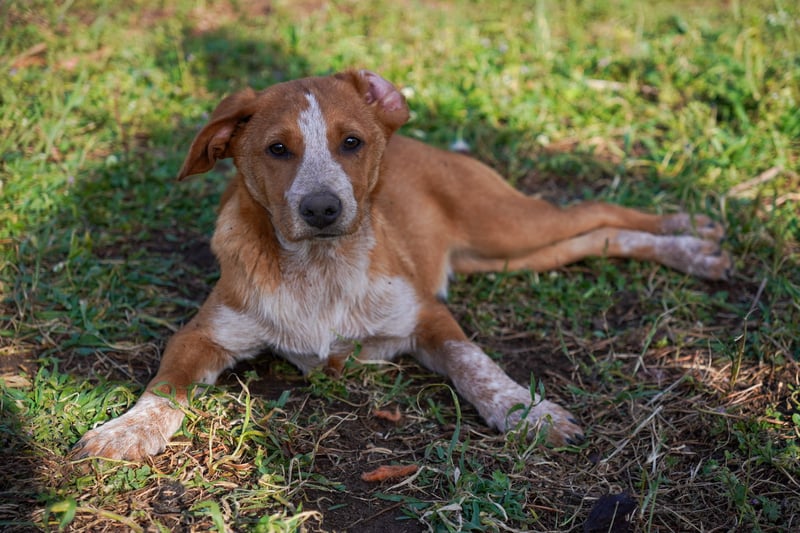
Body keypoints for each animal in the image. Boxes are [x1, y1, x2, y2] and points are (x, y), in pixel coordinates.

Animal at [73, 70, 731, 461]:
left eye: (352, 143)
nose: (322, 209)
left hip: (508, 225)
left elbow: (476, 365)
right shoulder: (202, 336)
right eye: (277, 149)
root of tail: (424, 142)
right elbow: (165, 389)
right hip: (511, 254)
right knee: (599, 236)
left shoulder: (427, 316)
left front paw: (529, 413)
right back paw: (691, 248)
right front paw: (124, 432)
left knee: (599, 211)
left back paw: (690, 234)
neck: (321, 269)